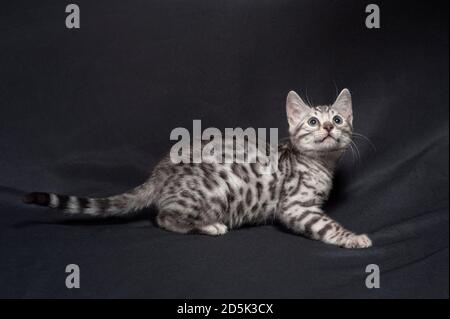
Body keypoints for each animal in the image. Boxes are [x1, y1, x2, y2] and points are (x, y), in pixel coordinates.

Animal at [22, 89, 372, 249]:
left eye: (337, 119)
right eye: (312, 121)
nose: (328, 127)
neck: (319, 164)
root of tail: (161, 173)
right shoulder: (295, 206)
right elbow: (326, 225)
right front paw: (354, 238)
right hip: (214, 192)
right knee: (163, 217)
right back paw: (210, 226)